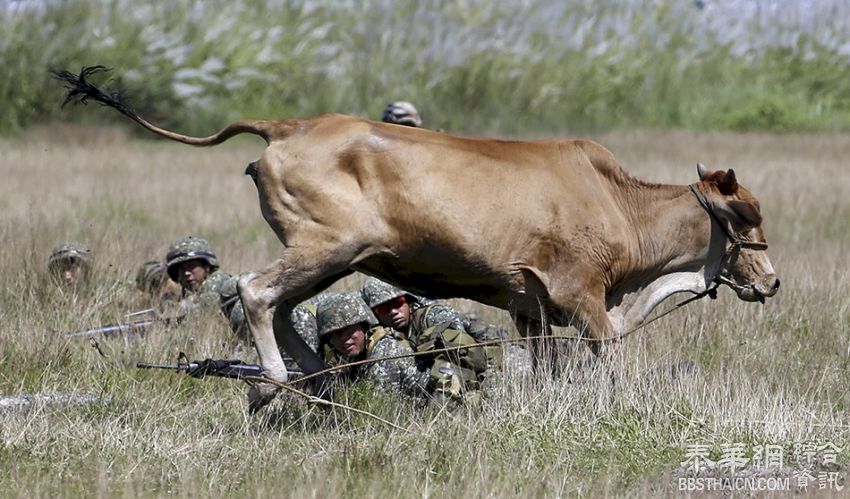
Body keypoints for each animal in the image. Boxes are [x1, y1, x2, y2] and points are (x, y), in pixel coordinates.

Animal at [56, 67, 780, 410]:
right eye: (745, 214)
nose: (772, 281)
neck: (617, 203)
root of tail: (288, 125)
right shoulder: (584, 299)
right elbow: (612, 363)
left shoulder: (530, 306)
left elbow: (544, 366)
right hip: (324, 246)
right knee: (258, 292)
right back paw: (279, 379)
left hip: (327, 256)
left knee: (283, 305)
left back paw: (318, 376)